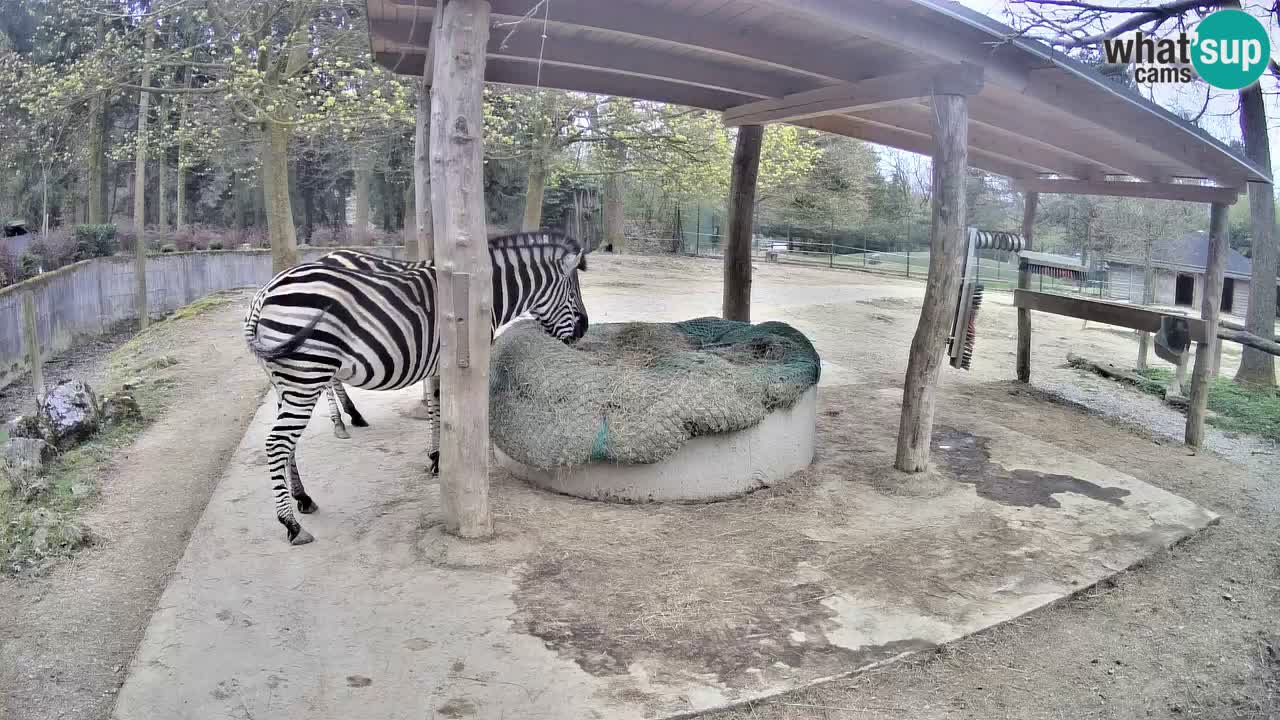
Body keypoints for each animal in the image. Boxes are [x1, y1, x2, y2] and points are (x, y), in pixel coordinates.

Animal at [244, 231, 590, 545]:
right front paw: (440, 459)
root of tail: (264, 293)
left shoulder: (438, 363)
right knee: (277, 443)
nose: (585, 330)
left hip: (285, 380)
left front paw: (436, 457)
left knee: (288, 444)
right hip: (308, 372)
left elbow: (437, 406)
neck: (478, 293)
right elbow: (443, 407)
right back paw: (292, 524)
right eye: (573, 292)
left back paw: (304, 497)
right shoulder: (453, 361)